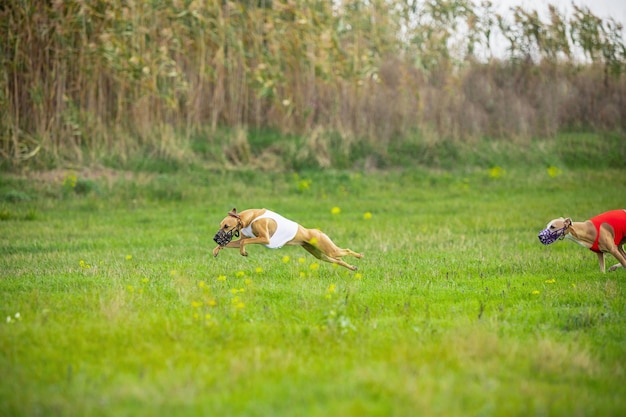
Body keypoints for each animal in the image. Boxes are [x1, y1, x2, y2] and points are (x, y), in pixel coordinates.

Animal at [213, 207, 360, 272]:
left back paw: (359, 256)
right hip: (320, 254)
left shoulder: (265, 238)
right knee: (338, 260)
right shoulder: (241, 239)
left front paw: (243, 252)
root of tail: (315, 231)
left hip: (328, 249)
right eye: (220, 225)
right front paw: (216, 249)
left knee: (345, 251)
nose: (215, 238)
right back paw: (352, 267)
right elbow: (233, 243)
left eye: (226, 226)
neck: (249, 217)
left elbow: (244, 242)